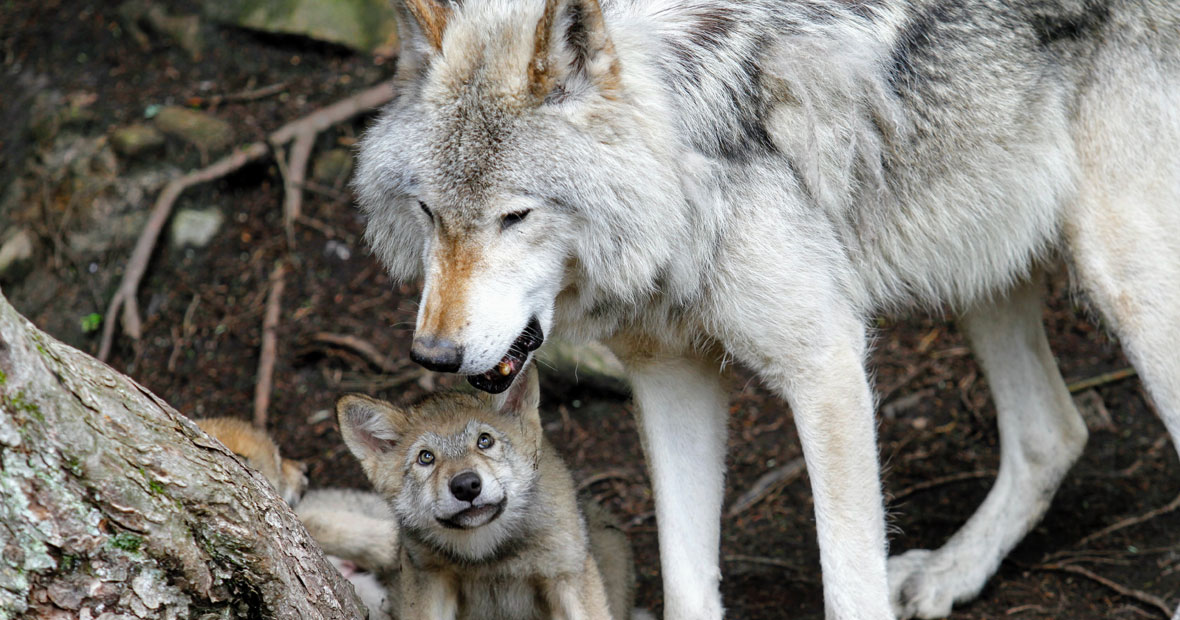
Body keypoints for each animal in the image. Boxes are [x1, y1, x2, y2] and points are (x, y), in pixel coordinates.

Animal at [353, 0, 1180, 614]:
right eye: (428, 213)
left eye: (515, 216)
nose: (433, 355)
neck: (685, 161)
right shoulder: (671, 378)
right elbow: (687, 586)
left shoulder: (828, 368)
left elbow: (850, 588)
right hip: (980, 261)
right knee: (1054, 432)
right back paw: (951, 574)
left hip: (1125, 278)